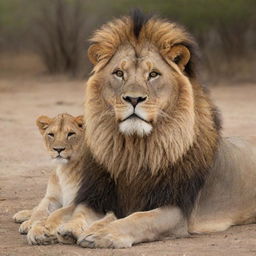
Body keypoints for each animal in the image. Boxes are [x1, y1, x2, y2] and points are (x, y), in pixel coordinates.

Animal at [45, 11, 256, 248]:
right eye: (119, 73)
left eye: (153, 74)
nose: (133, 99)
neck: (136, 151)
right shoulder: (98, 195)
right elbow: (76, 210)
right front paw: (66, 228)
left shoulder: (176, 209)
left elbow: (138, 219)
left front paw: (101, 234)